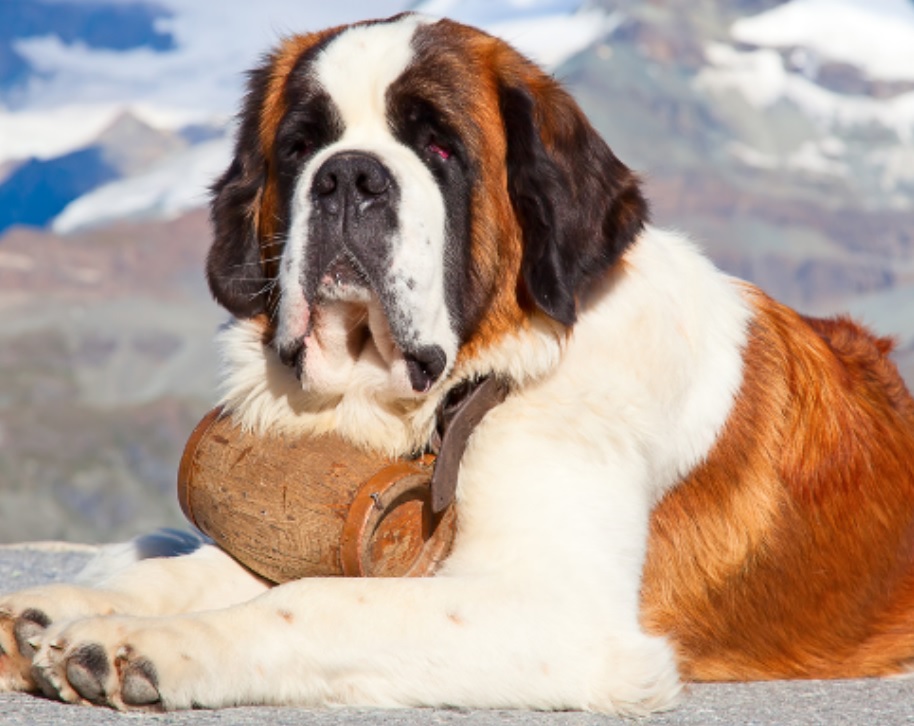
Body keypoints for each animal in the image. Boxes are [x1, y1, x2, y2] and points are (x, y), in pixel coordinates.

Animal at [1, 11, 912, 716]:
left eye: (439, 147)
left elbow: (317, 602)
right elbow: (214, 568)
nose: (348, 176)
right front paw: (65, 614)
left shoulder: (555, 613)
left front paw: (143, 643)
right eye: (301, 147)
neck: (465, 390)